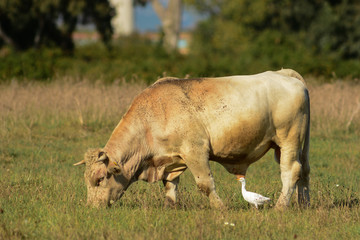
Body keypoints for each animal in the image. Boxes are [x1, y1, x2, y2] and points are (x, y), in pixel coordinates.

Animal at [73, 69, 310, 210]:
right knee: (304, 171)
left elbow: (205, 184)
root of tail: (284, 74)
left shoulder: (195, 151)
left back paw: (280, 207)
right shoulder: (170, 160)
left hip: (288, 140)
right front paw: (169, 208)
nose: (92, 207)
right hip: (296, 145)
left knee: (291, 172)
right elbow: (170, 186)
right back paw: (304, 203)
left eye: (99, 179)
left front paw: (220, 209)